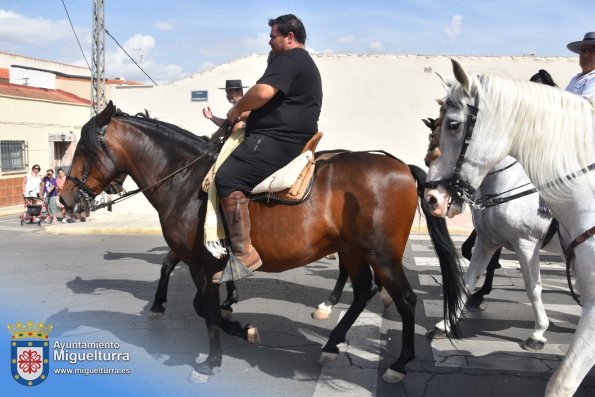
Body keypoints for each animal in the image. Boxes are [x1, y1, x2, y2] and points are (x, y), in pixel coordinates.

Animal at [59, 102, 466, 384]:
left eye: (83, 149)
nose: (64, 198)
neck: (184, 179)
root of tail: (401, 168)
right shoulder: (203, 262)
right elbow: (199, 300)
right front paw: (239, 327)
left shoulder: (202, 263)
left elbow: (205, 309)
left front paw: (212, 360)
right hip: (354, 250)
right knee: (363, 291)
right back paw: (332, 341)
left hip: (382, 255)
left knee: (406, 299)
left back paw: (398, 364)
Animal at [426, 58, 592, 396]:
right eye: (432, 131)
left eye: (452, 125)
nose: (433, 196)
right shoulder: (487, 240)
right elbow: (470, 276)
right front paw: (447, 322)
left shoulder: (526, 244)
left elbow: (533, 287)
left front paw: (539, 333)